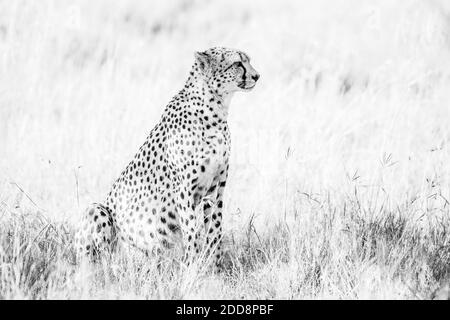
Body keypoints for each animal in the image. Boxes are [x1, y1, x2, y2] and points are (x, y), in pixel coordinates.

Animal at [75, 47, 260, 268]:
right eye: (237, 63)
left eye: (247, 61)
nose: (257, 76)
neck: (215, 110)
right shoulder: (184, 190)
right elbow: (192, 232)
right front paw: (192, 267)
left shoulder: (216, 188)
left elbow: (214, 229)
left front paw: (216, 266)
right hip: (97, 212)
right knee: (101, 261)